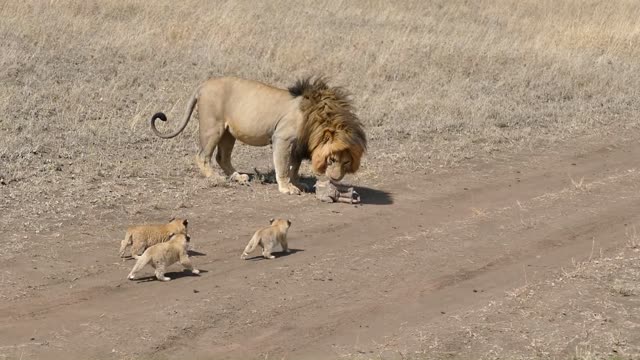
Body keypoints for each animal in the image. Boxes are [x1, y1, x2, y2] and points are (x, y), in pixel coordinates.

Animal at [149, 76, 364, 194]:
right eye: (332, 159)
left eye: (346, 162)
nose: (336, 178)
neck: (317, 119)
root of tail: (204, 84)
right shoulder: (282, 138)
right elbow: (283, 167)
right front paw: (287, 188)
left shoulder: (297, 145)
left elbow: (294, 167)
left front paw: (297, 183)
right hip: (213, 126)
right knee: (203, 156)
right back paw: (216, 178)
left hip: (228, 133)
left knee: (222, 157)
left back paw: (238, 177)